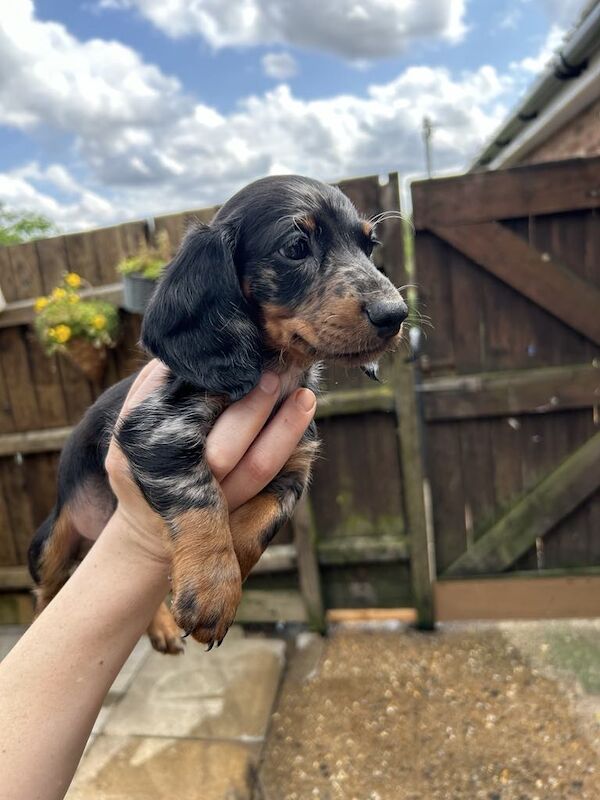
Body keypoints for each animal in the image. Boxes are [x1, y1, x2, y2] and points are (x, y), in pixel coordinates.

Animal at [25, 175, 406, 648]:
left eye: (369, 246)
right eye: (295, 247)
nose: (396, 314)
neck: (275, 372)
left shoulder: (294, 466)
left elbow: (261, 523)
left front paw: (227, 575)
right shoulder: (157, 430)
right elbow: (200, 494)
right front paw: (211, 587)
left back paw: (160, 624)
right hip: (51, 538)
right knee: (48, 586)